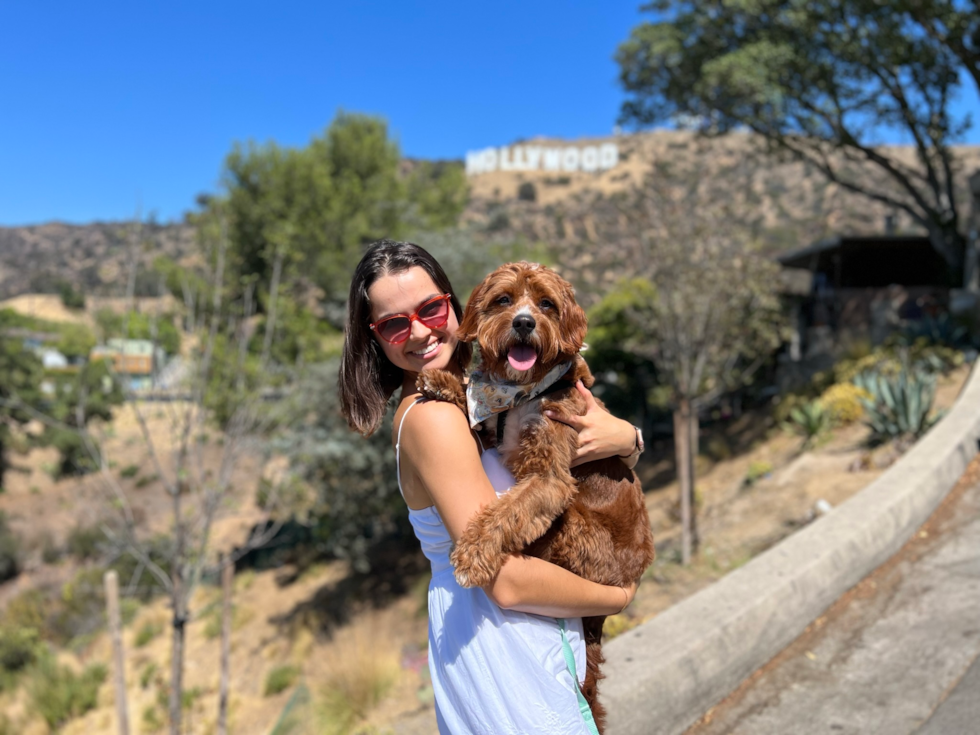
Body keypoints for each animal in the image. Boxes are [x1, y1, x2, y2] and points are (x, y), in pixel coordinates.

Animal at [418, 260, 656, 732]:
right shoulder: (496, 432)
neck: (525, 391)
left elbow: (508, 508)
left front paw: (472, 552)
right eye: (504, 299)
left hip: (581, 536)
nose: (524, 323)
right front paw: (443, 381)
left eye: (546, 303)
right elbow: (475, 411)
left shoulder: (549, 475)